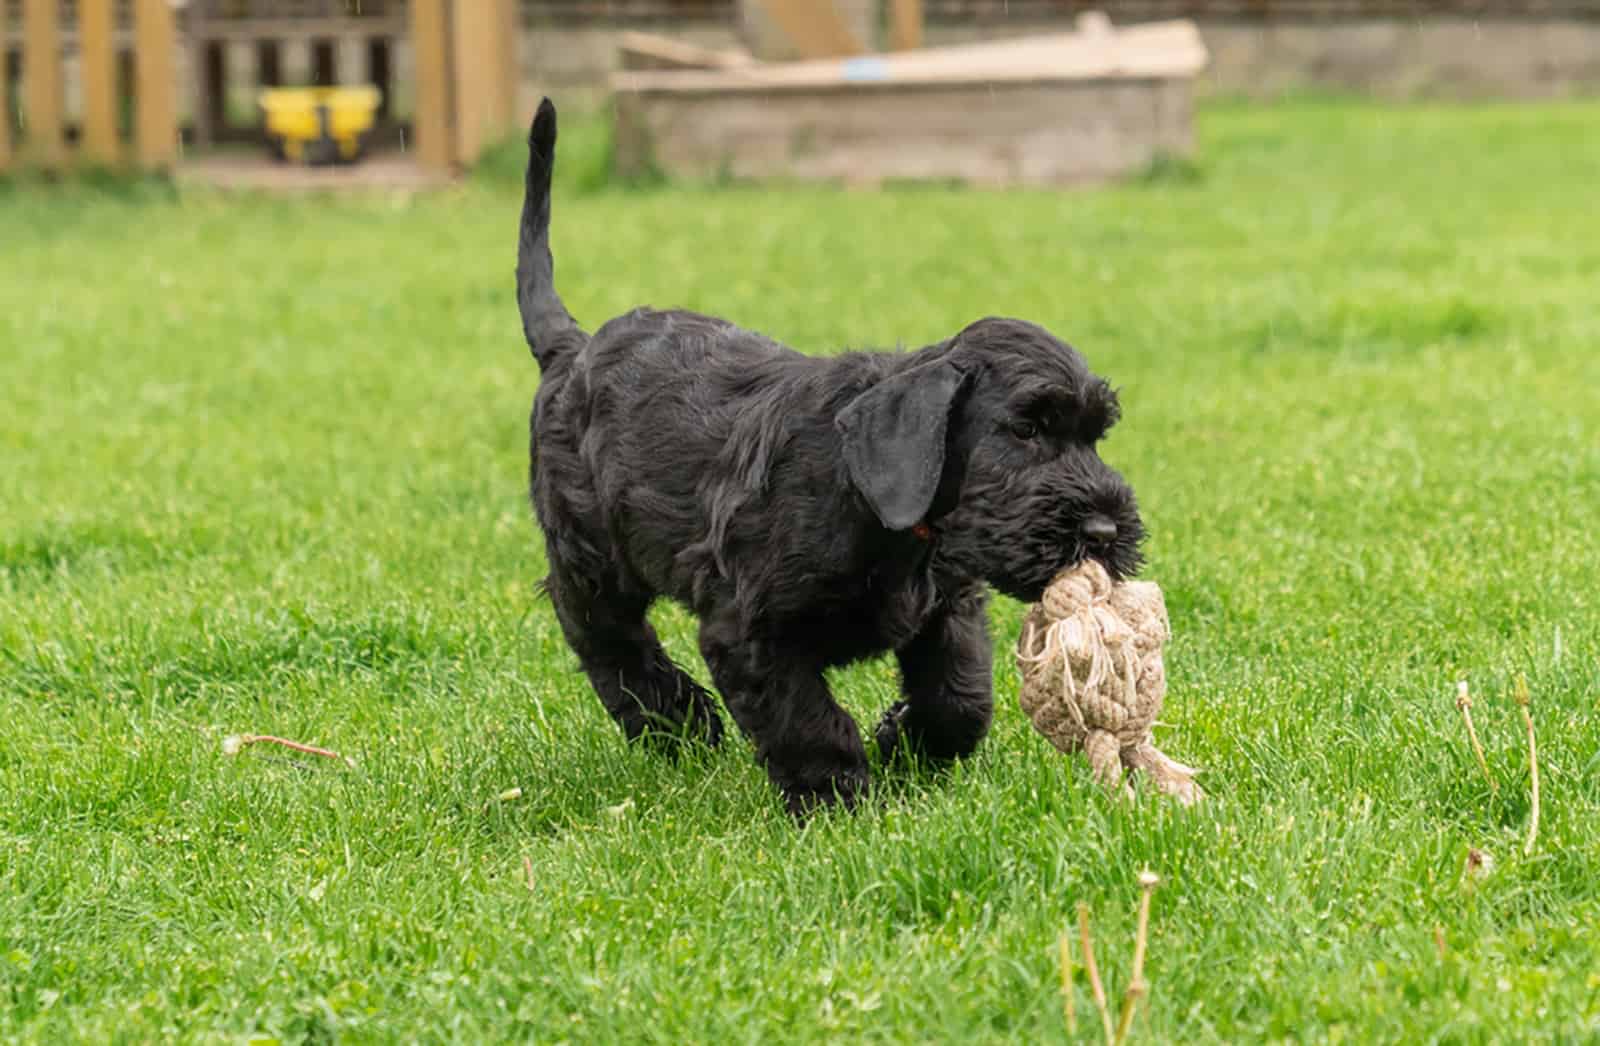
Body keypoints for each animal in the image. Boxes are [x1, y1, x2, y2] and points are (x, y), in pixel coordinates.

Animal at [518, 98, 1145, 818]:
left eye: (1096, 435)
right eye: (1025, 430)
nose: (1106, 532)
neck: (874, 503)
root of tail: (569, 349)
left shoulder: (950, 608)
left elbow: (962, 696)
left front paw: (904, 743)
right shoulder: (752, 631)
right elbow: (806, 718)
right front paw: (835, 799)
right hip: (591, 551)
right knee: (599, 631)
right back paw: (676, 719)